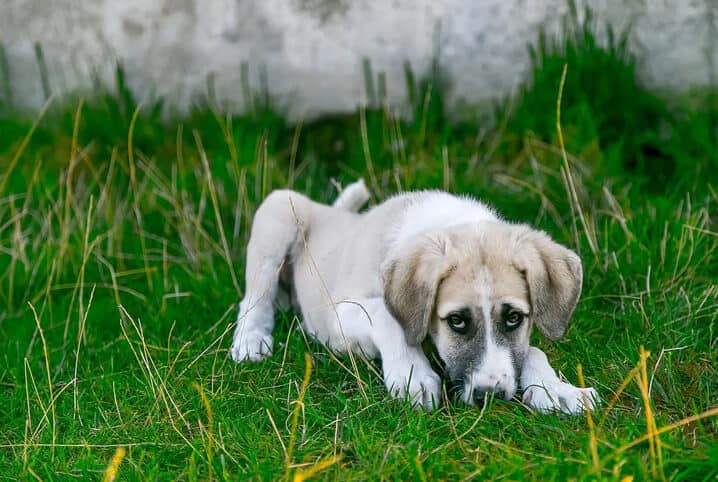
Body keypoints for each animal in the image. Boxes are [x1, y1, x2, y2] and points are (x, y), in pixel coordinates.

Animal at [232, 181, 600, 414]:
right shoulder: (339, 314)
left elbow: (533, 350)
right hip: (280, 210)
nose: (490, 396)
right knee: (254, 296)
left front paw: (558, 389)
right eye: (456, 321)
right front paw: (412, 375)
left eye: (514, 318)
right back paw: (251, 339)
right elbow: (386, 316)